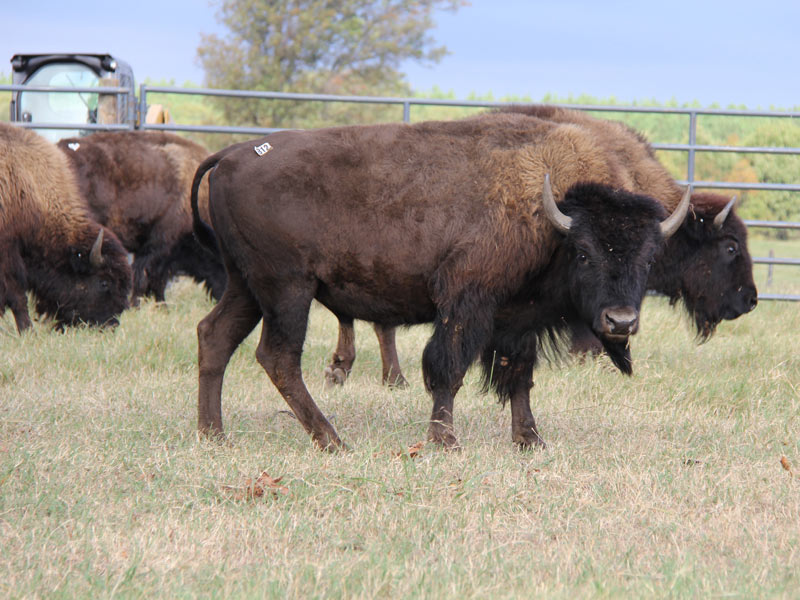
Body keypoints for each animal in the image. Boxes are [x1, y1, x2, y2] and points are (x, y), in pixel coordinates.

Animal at [190, 112, 690, 451]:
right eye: (584, 253)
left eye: (649, 259)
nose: (620, 322)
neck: (551, 214)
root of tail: (231, 154)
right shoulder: (466, 302)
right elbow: (447, 368)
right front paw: (445, 440)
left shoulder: (518, 320)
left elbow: (519, 376)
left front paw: (530, 441)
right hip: (288, 288)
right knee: (278, 356)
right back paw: (332, 440)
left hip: (246, 286)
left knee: (215, 336)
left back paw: (213, 434)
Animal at [324, 106, 758, 385]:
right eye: (731, 247)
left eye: (650, 258)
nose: (750, 299)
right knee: (378, 320)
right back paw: (381, 376)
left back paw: (350, 370)